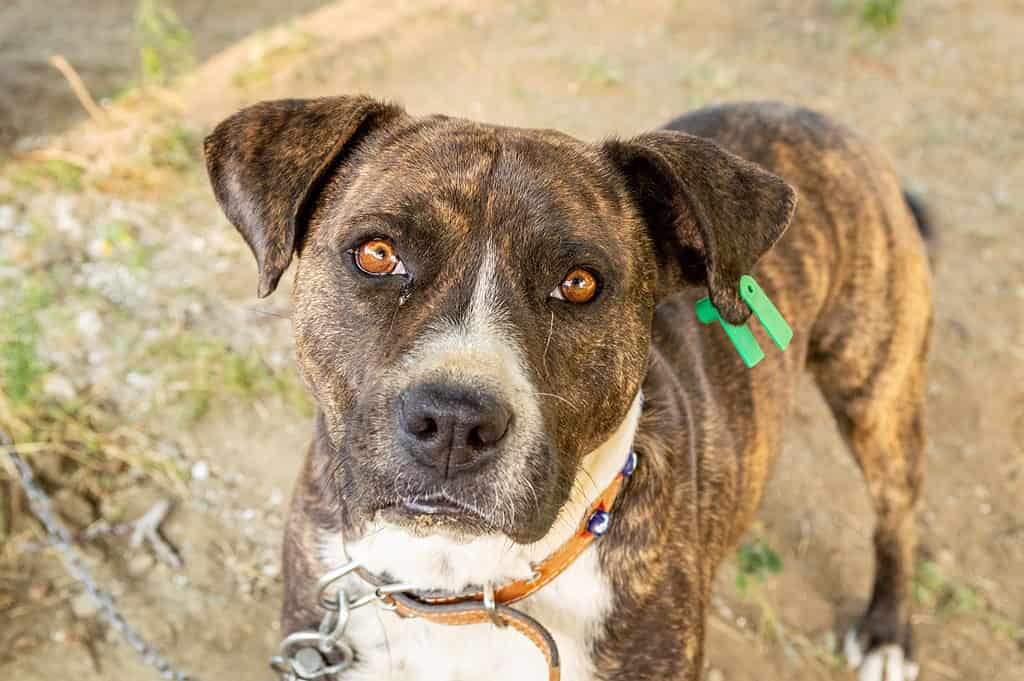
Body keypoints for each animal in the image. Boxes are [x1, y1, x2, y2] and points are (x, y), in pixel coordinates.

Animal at [203, 95, 933, 679]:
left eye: (579, 284)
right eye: (377, 255)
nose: (454, 422)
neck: (459, 585)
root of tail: (816, 119)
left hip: (877, 397)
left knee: (896, 514)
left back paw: (887, 633)